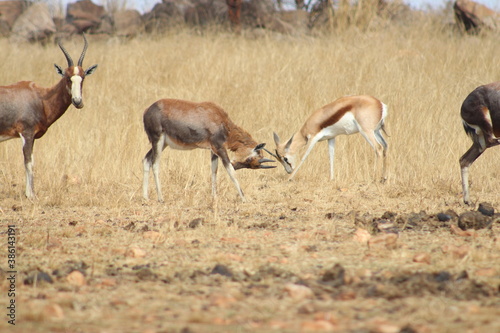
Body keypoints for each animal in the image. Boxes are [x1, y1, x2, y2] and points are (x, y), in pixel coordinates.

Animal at [0, 35, 97, 197]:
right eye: (67, 77)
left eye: (83, 77)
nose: (78, 102)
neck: (40, 97)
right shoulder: (26, 134)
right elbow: (29, 162)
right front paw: (30, 195)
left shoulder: (32, 136)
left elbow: (32, 161)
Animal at [141, 98, 276, 201]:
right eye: (250, 159)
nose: (236, 165)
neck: (220, 120)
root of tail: (147, 110)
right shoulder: (220, 148)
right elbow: (231, 172)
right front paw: (244, 198)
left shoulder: (213, 150)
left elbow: (214, 171)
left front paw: (214, 196)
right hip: (158, 140)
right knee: (155, 164)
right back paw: (160, 198)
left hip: (162, 144)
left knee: (146, 160)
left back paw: (145, 197)